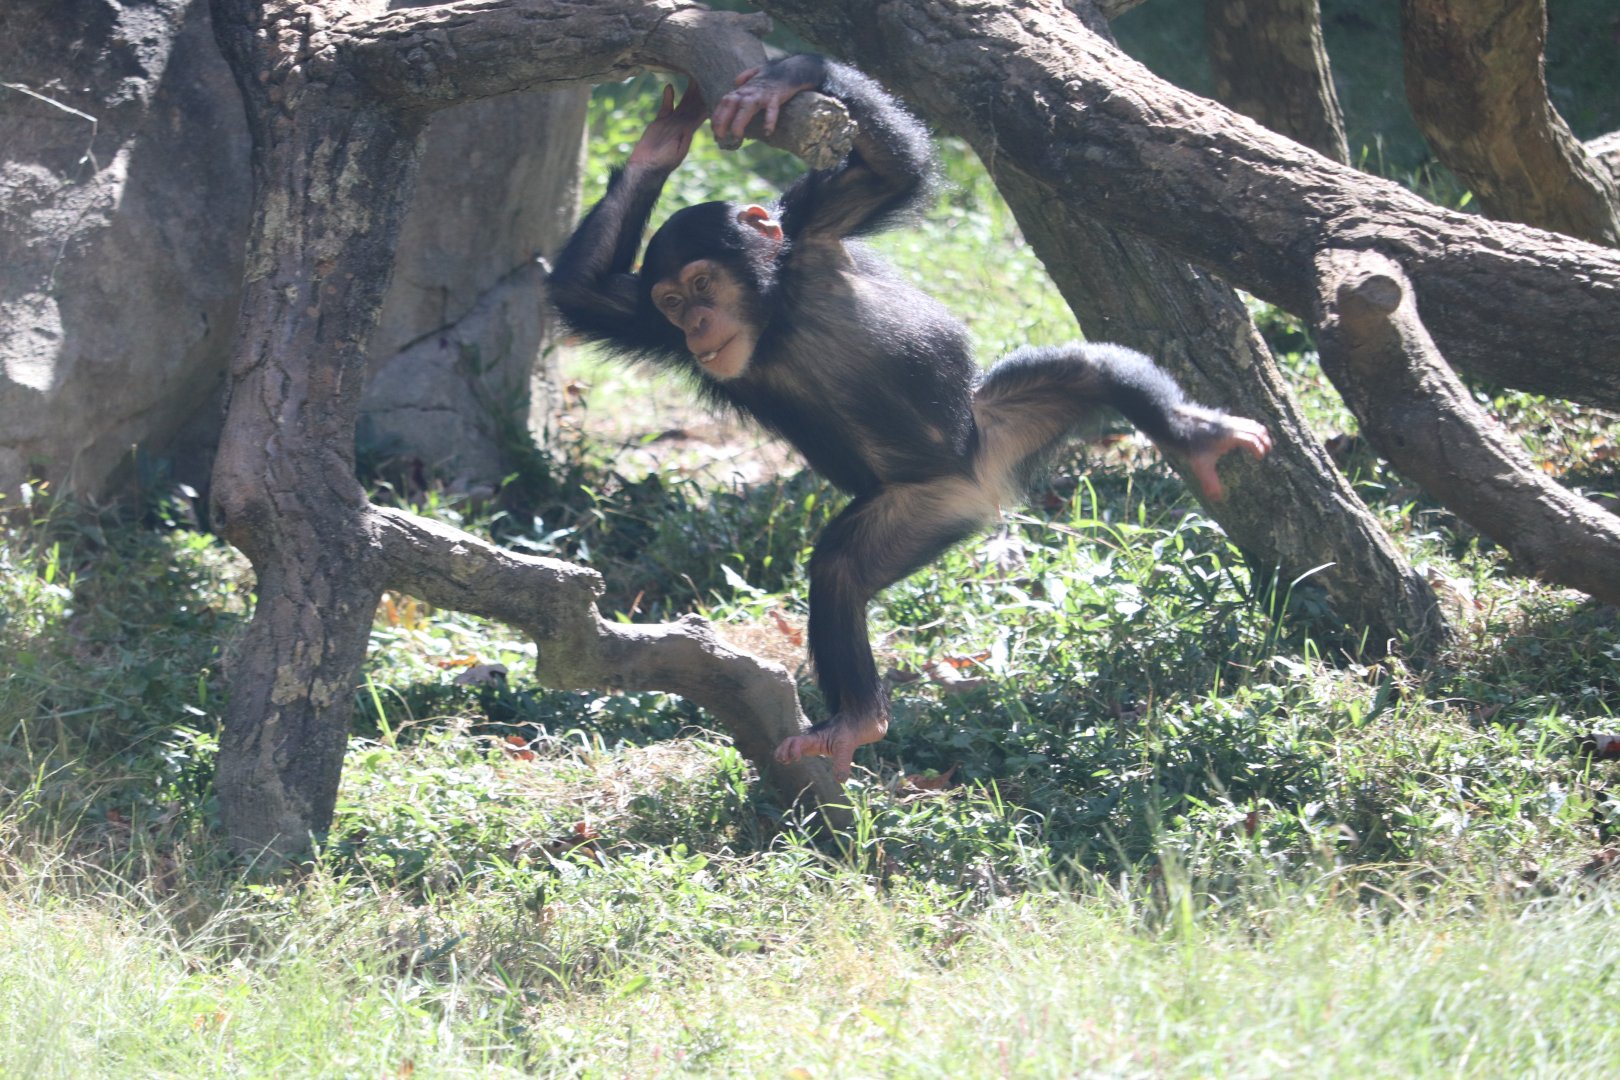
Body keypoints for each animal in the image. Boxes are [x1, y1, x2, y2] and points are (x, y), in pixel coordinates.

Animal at [548, 55, 1271, 782]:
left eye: (701, 285)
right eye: (671, 300)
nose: (695, 324)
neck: (774, 316)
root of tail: (981, 482)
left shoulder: (818, 224)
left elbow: (893, 166)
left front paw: (784, 79)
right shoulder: (648, 323)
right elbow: (582, 294)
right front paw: (659, 142)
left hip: (992, 425)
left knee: (1092, 368)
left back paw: (1197, 437)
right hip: (921, 508)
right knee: (840, 569)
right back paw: (856, 720)